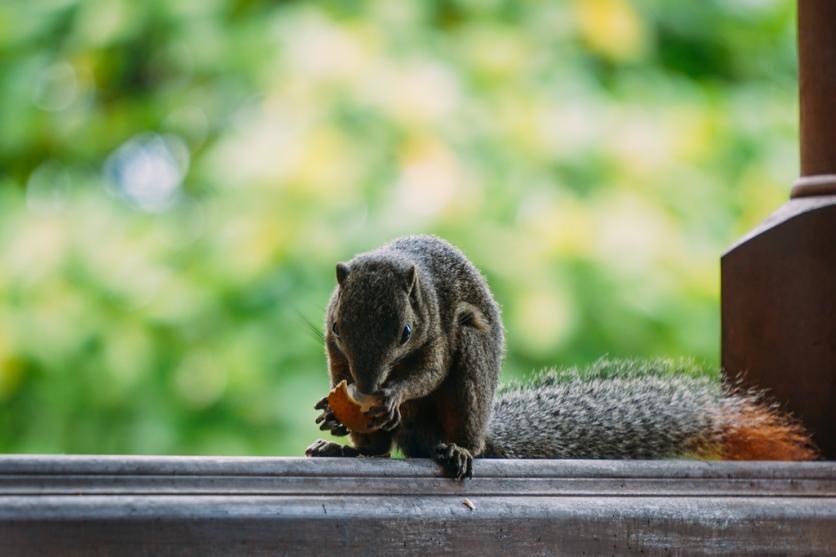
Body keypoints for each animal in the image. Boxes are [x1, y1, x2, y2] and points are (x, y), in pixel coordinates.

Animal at [306, 232, 816, 476]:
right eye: (337, 325)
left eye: (407, 331)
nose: (367, 387)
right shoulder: (335, 351)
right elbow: (335, 369)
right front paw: (333, 411)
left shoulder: (438, 332)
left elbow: (428, 372)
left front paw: (393, 394)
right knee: (375, 452)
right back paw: (343, 446)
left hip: (470, 370)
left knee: (463, 434)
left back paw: (458, 452)